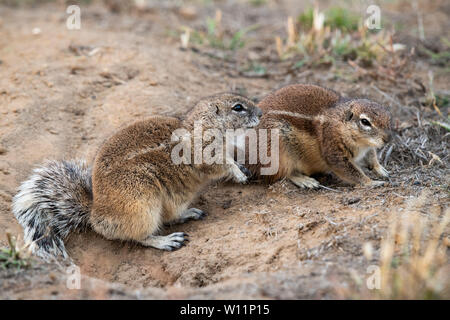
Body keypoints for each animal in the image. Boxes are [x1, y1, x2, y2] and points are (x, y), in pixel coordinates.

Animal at [12, 92, 262, 260]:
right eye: (238, 107)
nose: (260, 112)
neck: (202, 125)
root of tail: (94, 213)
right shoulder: (205, 153)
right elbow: (220, 165)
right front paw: (239, 174)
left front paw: (243, 168)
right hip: (142, 206)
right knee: (140, 235)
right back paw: (168, 240)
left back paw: (190, 213)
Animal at [248, 84, 392, 189]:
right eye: (365, 122)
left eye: (388, 116)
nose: (388, 139)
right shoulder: (333, 151)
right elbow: (351, 172)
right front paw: (371, 182)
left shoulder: (368, 147)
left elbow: (372, 156)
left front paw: (380, 169)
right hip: (276, 149)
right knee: (281, 174)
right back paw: (305, 180)